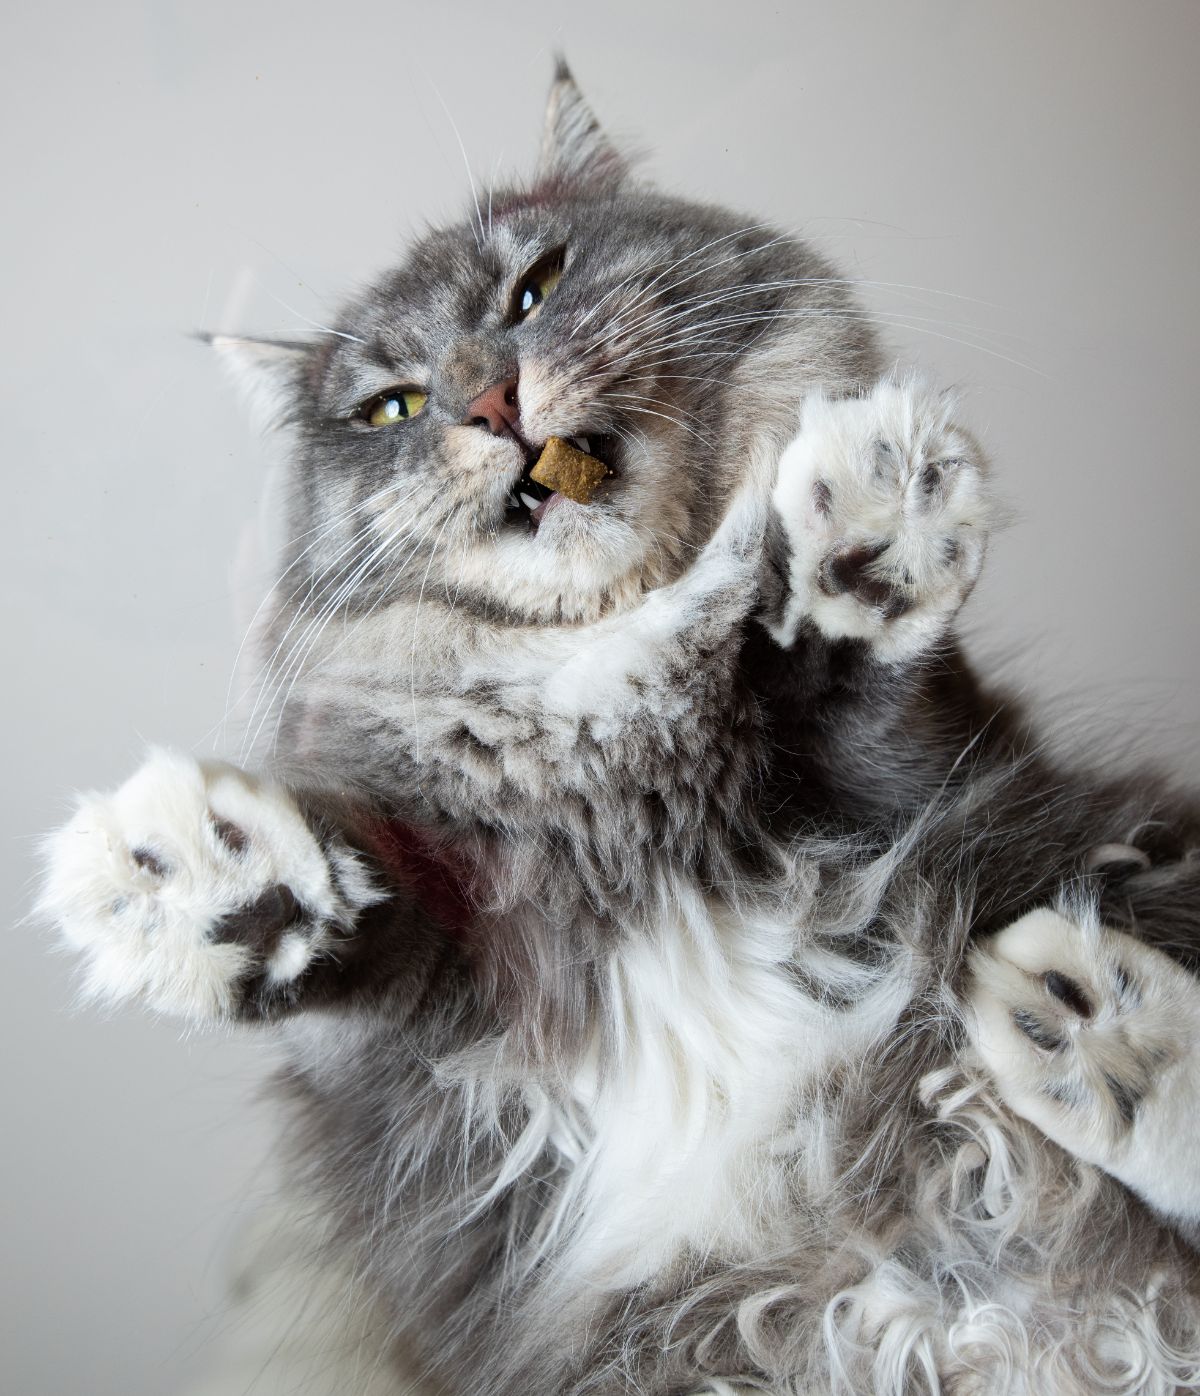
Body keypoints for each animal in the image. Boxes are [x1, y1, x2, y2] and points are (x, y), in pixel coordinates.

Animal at [37, 62, 1200, 1396]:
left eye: (535, 287)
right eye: (392, 407)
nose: (490, 401)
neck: (608, 702)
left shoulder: (948, 782)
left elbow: (848, 676)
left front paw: (870, 518)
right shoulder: (430, 1046)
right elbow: (363, 924)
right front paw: (184, 878)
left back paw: (1095, 1020)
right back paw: (1091, 1027)